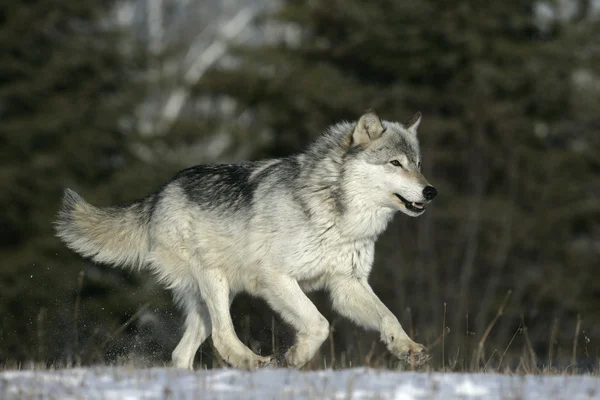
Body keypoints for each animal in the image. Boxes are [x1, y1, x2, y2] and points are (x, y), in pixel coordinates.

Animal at [55, 111, 436, 370]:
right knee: (223, 337)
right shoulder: (275, 278)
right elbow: (318, 324)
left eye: (418, 164)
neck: (340, 217)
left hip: (211, 300)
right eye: (395, 163)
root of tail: (160, 193)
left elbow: (388, 317)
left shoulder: (347, 285)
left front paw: (407, 348)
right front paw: (295, 356)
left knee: (182, 352)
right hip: (215, 280)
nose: (430, 191)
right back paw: (253, 362)